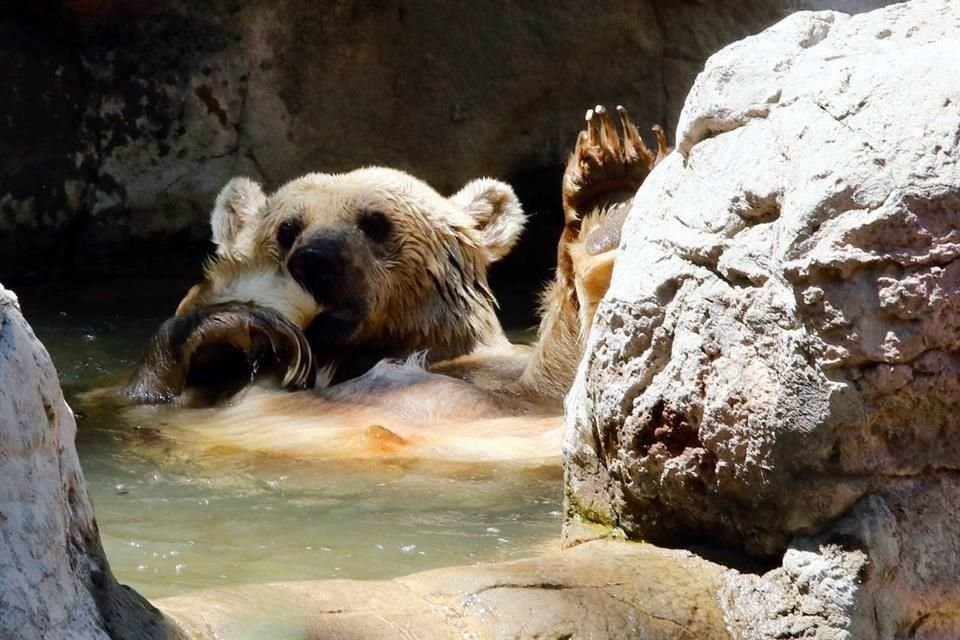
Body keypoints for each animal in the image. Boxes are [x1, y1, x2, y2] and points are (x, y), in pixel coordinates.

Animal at [118, 105, 668, 462]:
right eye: (287, 229)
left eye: (375, 221)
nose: (315, 260)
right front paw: (232, 323)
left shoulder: (502, 378)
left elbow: (565, 388)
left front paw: (608, 186)